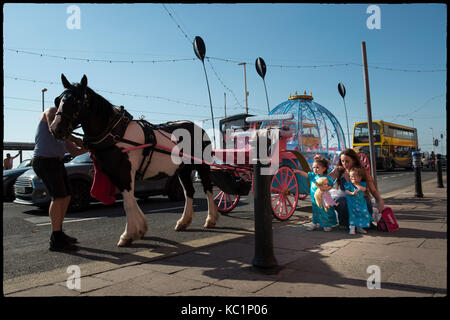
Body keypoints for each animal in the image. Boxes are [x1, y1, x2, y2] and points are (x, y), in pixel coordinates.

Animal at [50, 75, 219, 248]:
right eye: (58, 100)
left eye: (77, 101)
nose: (56, 129)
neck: (116, 135)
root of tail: (198, 128)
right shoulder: (115, 174)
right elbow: (130, 200)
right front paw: (141, 229)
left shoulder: (124, 172)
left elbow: (128, 203)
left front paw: (128, 234)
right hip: (183, 169)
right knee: (189, 192)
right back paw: (184, 221)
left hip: (202, 166)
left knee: (207, 189)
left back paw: (211, 219)